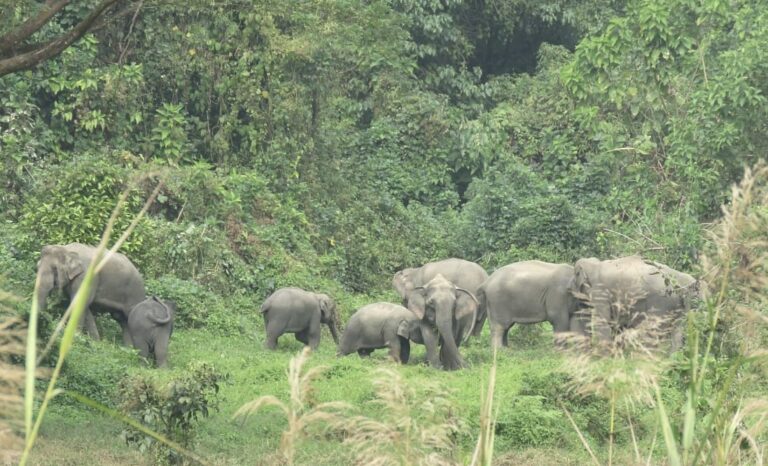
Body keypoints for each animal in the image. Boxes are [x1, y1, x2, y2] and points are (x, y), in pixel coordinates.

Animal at [570, 255, 698, 345]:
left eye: (575, 280)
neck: (594, 264)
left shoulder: (600, 292)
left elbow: (602, 322)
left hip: (661, 300)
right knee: (677, 331)